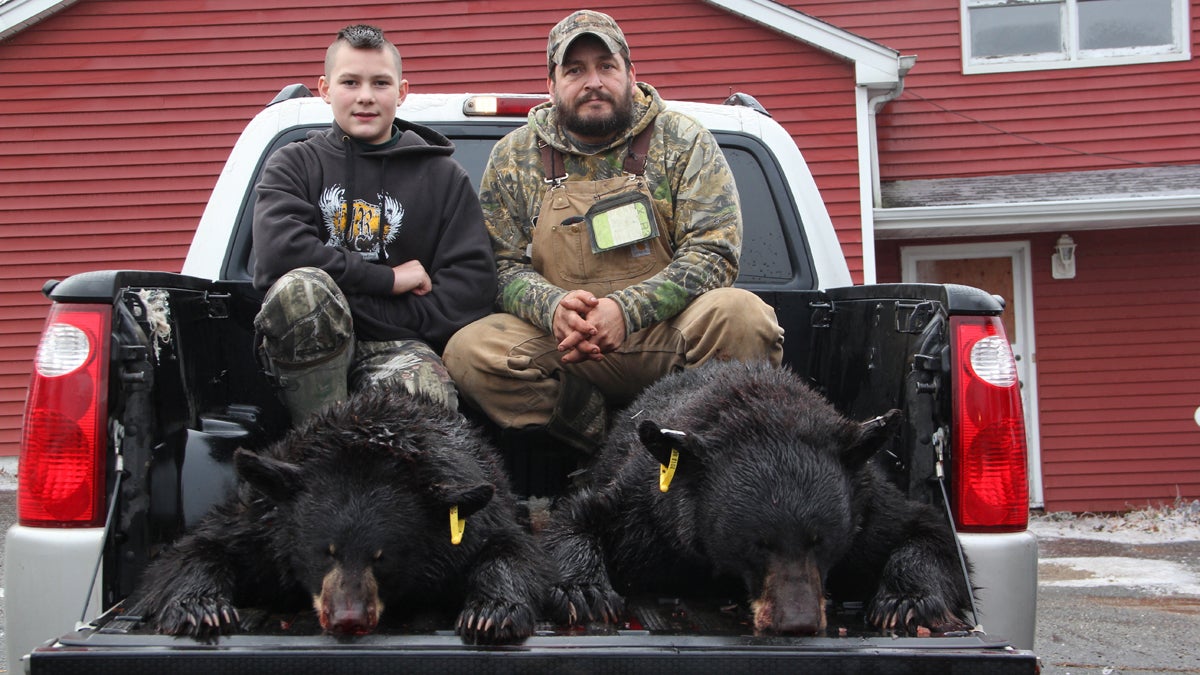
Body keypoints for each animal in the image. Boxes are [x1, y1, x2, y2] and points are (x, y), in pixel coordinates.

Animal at [129, 384, 549, 638]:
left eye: (382, 557)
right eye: (325, 552)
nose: (349, 620)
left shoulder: (470, 524)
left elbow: (511, 552)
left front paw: (491, 613)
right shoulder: (261, 525)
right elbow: (194, 550)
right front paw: (201, 608)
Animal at [544, 360, 974, 634]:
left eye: (821, 541)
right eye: (756, 543)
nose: (798, 623)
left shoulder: (867, 510)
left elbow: (931, 534)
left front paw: (905, 602)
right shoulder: (647, 512)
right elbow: (579, 517)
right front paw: (583, 591)